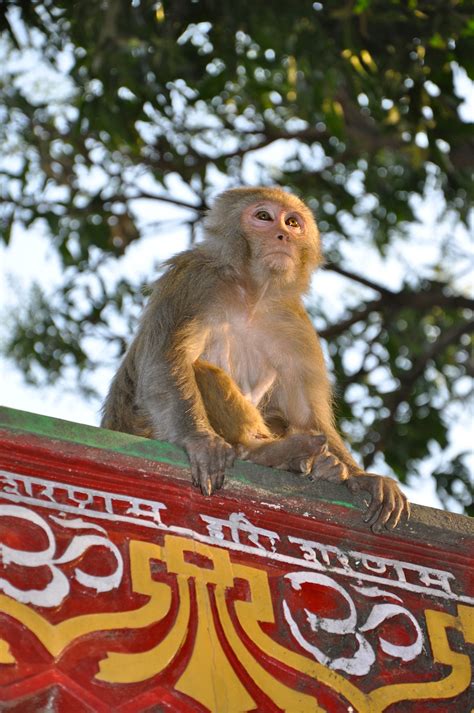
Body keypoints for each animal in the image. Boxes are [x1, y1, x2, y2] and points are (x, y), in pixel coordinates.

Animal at [102, 186, 410, 524]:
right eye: (264, 216)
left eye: (292, 222)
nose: (283, 236)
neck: (249, 294)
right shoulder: (195, 280)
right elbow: (165, 361)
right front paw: (199, 438)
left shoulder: (294, 323)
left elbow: (306, 415)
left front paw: (363, 477)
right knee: (199, 369)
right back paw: (264, 451)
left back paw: (322, 465)